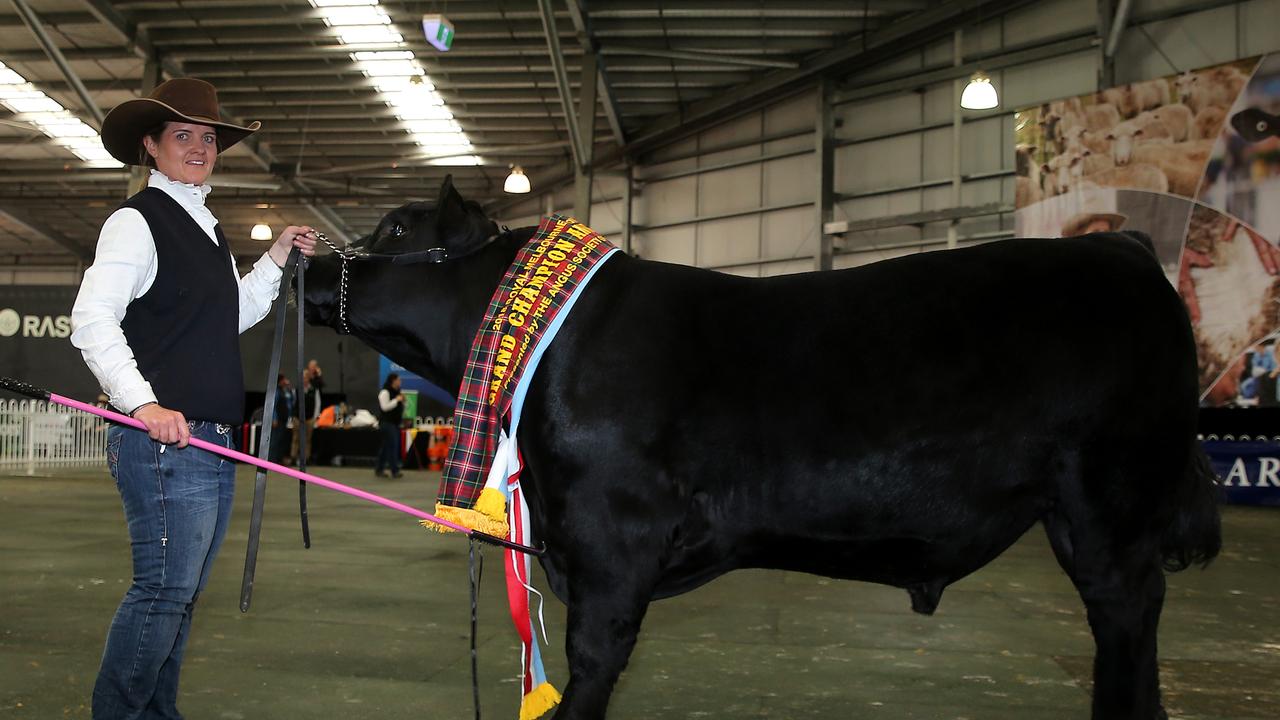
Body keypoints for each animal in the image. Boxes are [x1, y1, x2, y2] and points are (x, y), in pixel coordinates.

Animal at [299, 175, 1218, 717]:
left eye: (395, 226)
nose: (303, 263)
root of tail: (1117, 245)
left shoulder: (611, 533)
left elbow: (593, 663)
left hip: (1112, 502)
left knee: (1126, 623)